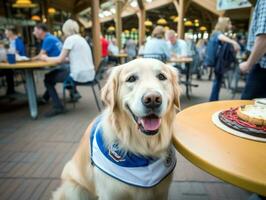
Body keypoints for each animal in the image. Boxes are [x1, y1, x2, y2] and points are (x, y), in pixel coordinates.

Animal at [52, 58, 181, 200]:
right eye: (131, 78)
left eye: (162, 77)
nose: (153, 99)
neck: (143, 149)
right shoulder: (110, 194)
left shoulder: (162, 192)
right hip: (75, 189)